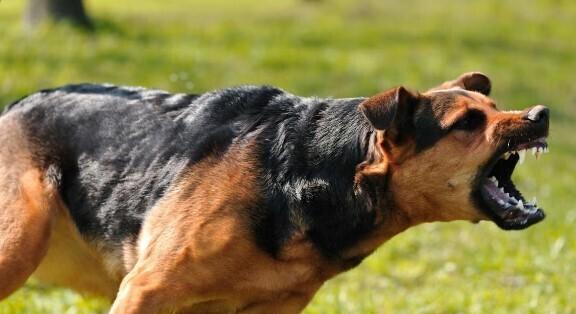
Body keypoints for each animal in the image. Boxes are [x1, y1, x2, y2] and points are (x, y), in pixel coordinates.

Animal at [0, 72, 548, 312]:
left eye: (493, 106)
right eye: (468, 122)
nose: (540, 114)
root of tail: (15, 105)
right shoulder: (146, 290)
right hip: (20, 243)